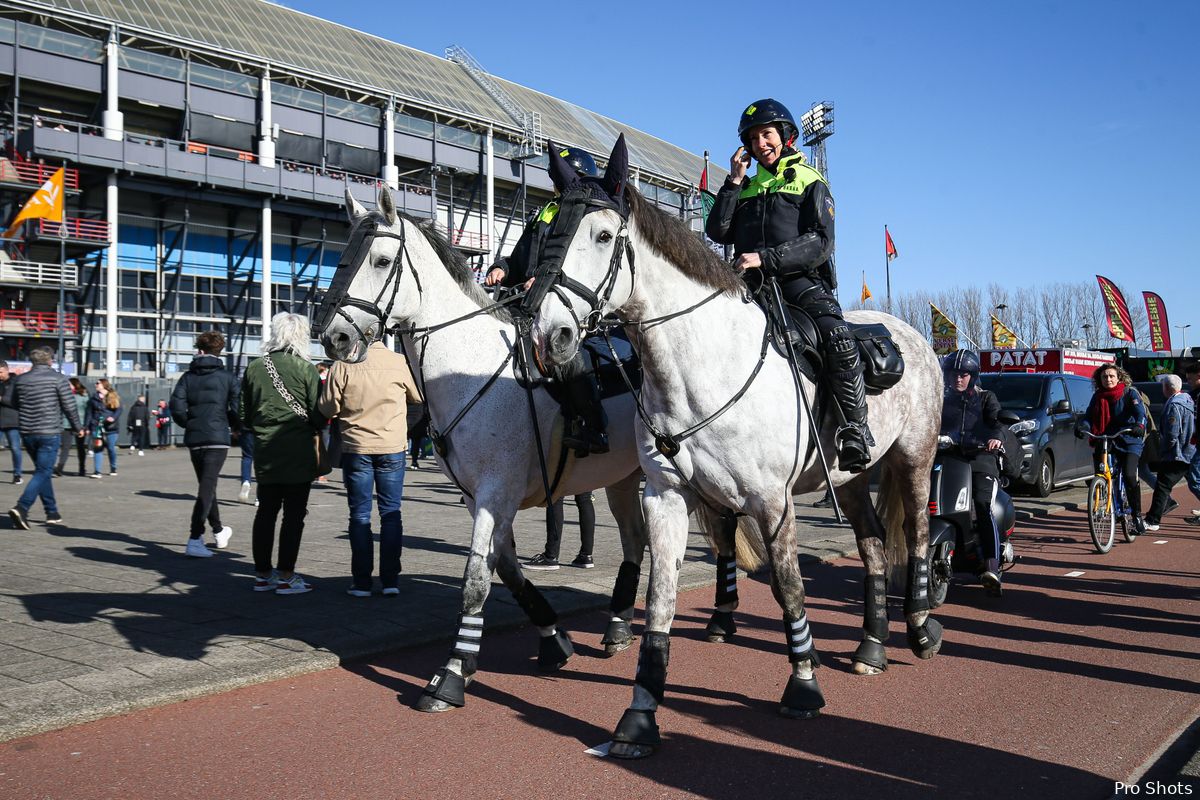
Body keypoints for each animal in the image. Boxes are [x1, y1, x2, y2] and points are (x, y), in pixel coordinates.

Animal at [314, 189, 657, 714]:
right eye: (341, 257)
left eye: (381, 260)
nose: (333, 336)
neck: (470, 365)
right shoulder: (483, 497)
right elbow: (508, 571)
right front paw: (553, 639)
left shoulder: (497, 492)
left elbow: (475, 577)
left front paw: (452, 673)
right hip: (620, 477)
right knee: (635, 540)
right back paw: (618, 625)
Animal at [528, 136, 945, 758]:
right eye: (547, 228)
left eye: (602, 236)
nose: (547, 336)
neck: (703, 364)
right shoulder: (666, 496)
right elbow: (661, 598)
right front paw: (639, 712)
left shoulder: (773, 501)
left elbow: (789, 587)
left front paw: (803, 685)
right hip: (847, 480)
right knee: (873, 548)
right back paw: (871, 647)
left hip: (915, 459)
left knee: (915, 534)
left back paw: (919, 629)